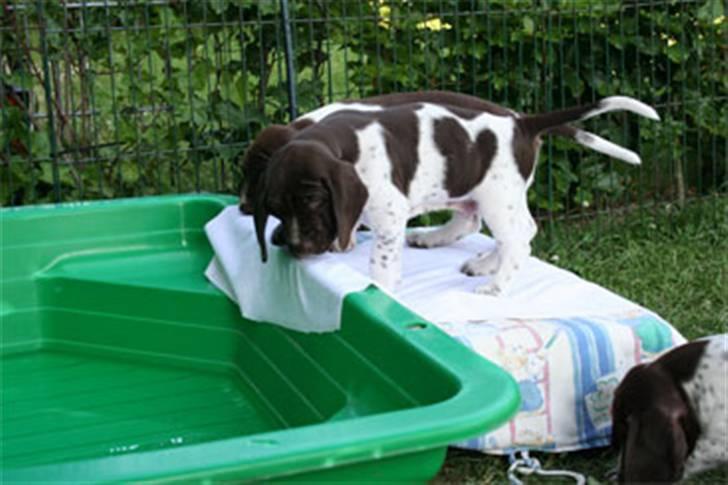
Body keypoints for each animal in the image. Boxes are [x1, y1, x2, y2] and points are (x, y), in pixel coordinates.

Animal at [246, 92, 660, 294]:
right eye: (275, 208)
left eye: (313, 201)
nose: (291, 245)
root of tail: (522, 123)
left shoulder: (389, 212)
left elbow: (381, 263)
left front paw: (380, 288)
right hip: (482, 193)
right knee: (505, 229)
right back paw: (471, 256)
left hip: (496, 196)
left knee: (518, 240)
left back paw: (495, 285)